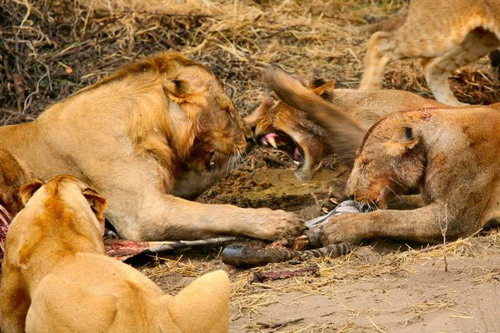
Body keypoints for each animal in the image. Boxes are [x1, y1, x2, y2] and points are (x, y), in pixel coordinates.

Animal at [0, 50, 300, 240]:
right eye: (226, 111)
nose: (248, 137)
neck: (152, 128)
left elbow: (209, 174)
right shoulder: (144, 212)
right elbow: (216, 212)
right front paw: (275, 222)